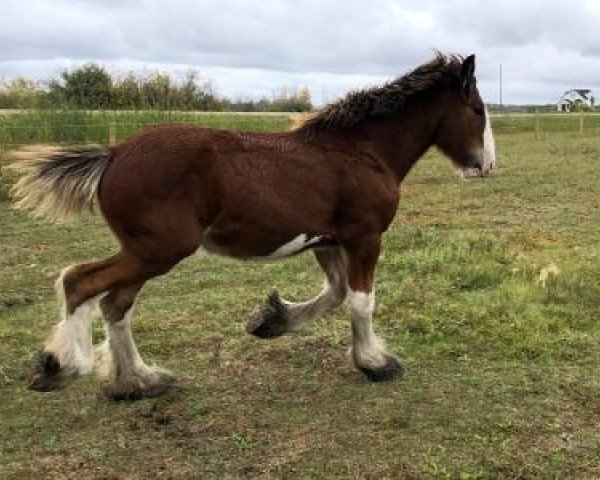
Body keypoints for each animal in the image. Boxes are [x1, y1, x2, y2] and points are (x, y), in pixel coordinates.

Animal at [10, 52, 496, 400]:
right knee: (81, 282)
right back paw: (60, 367)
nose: (487, 165)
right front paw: (376, 363)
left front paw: (271, 319)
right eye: (476, 109)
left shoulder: (327, 241)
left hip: (146, 252)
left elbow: (336, 293)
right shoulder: (364, 237)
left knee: (116, 304)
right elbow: (360, 302)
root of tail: (112, 155)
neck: (362, 150)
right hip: (158, 250)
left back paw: (137, 382)